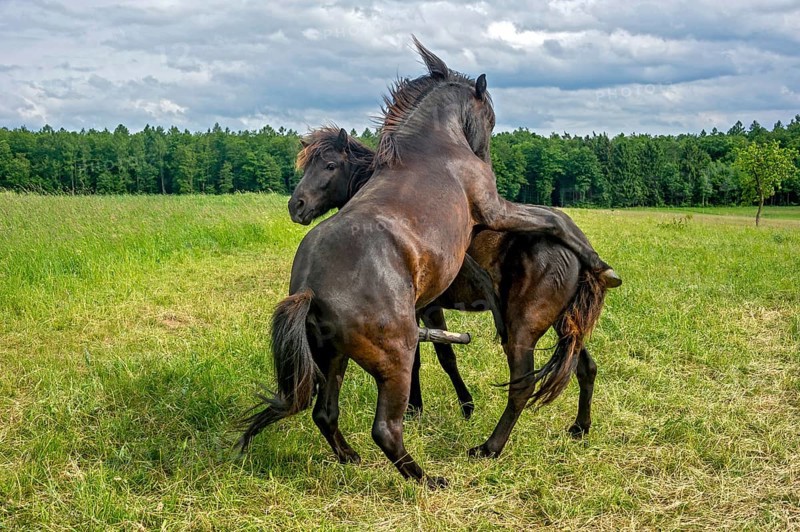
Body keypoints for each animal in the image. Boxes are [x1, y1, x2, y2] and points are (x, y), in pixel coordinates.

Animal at [290, 126, 605, 458]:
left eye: (329, 166)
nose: (296, 206)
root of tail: (579, 248)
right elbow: (422, 358)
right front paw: (418, 407)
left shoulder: (427, 309)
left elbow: (444, 356)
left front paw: (463, 405)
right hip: (564, 325)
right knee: (586, 368)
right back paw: (580, 427)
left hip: (523, 329)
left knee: (522, 386)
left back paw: (489, 447)